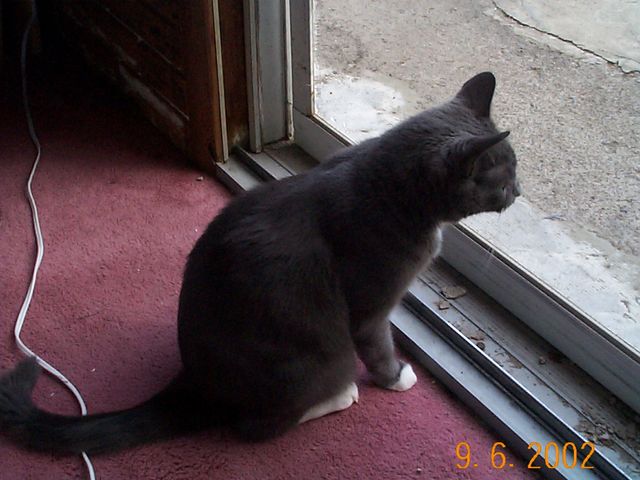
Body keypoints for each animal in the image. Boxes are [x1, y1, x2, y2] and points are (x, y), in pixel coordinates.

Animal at [0, 72, 519, 454]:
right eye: (504, 176)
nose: (518, 191)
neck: (391, 187)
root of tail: (196, 382)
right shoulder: (371, 306)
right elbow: (379, 344)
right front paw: (395, 378)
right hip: (312, 356)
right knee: (254, 428)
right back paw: (337, 396)